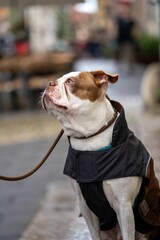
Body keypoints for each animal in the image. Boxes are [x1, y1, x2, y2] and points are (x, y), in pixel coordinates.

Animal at [41, 71, 160, 240]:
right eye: (57, 80)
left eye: (70, 81)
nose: (49, 83)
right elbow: (94, 234)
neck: (89, 140)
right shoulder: (85, 206)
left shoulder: (124, 206)